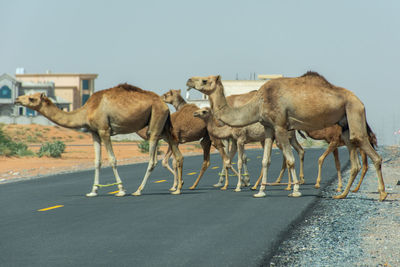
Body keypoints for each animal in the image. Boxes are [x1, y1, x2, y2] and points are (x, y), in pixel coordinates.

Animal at [14, 85, 184, 198]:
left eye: (31, 98)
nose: (16, 99)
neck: (87, 110)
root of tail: (164, 104)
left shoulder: (104, 130)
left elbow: (113, 160)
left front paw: (121, 190)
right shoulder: (94, 132)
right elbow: (97, 161)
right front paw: (93, 191)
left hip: (155, 124)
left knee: (153, 159)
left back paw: (138, 190)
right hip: (164, 127)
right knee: (178, 155)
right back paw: (178, 188)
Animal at [188, 73, 388, 201]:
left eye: (205, 80)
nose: (189, 80)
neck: (258, 102)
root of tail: (359, 100)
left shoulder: (281, 126)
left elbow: (290, 160)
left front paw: (296, 191)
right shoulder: (269, 128)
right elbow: (265, 160)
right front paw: (260, 191)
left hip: (354, 111)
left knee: (367, 147)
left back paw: (382, 194)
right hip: (345, 123)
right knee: (354, 160)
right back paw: (342, 194)